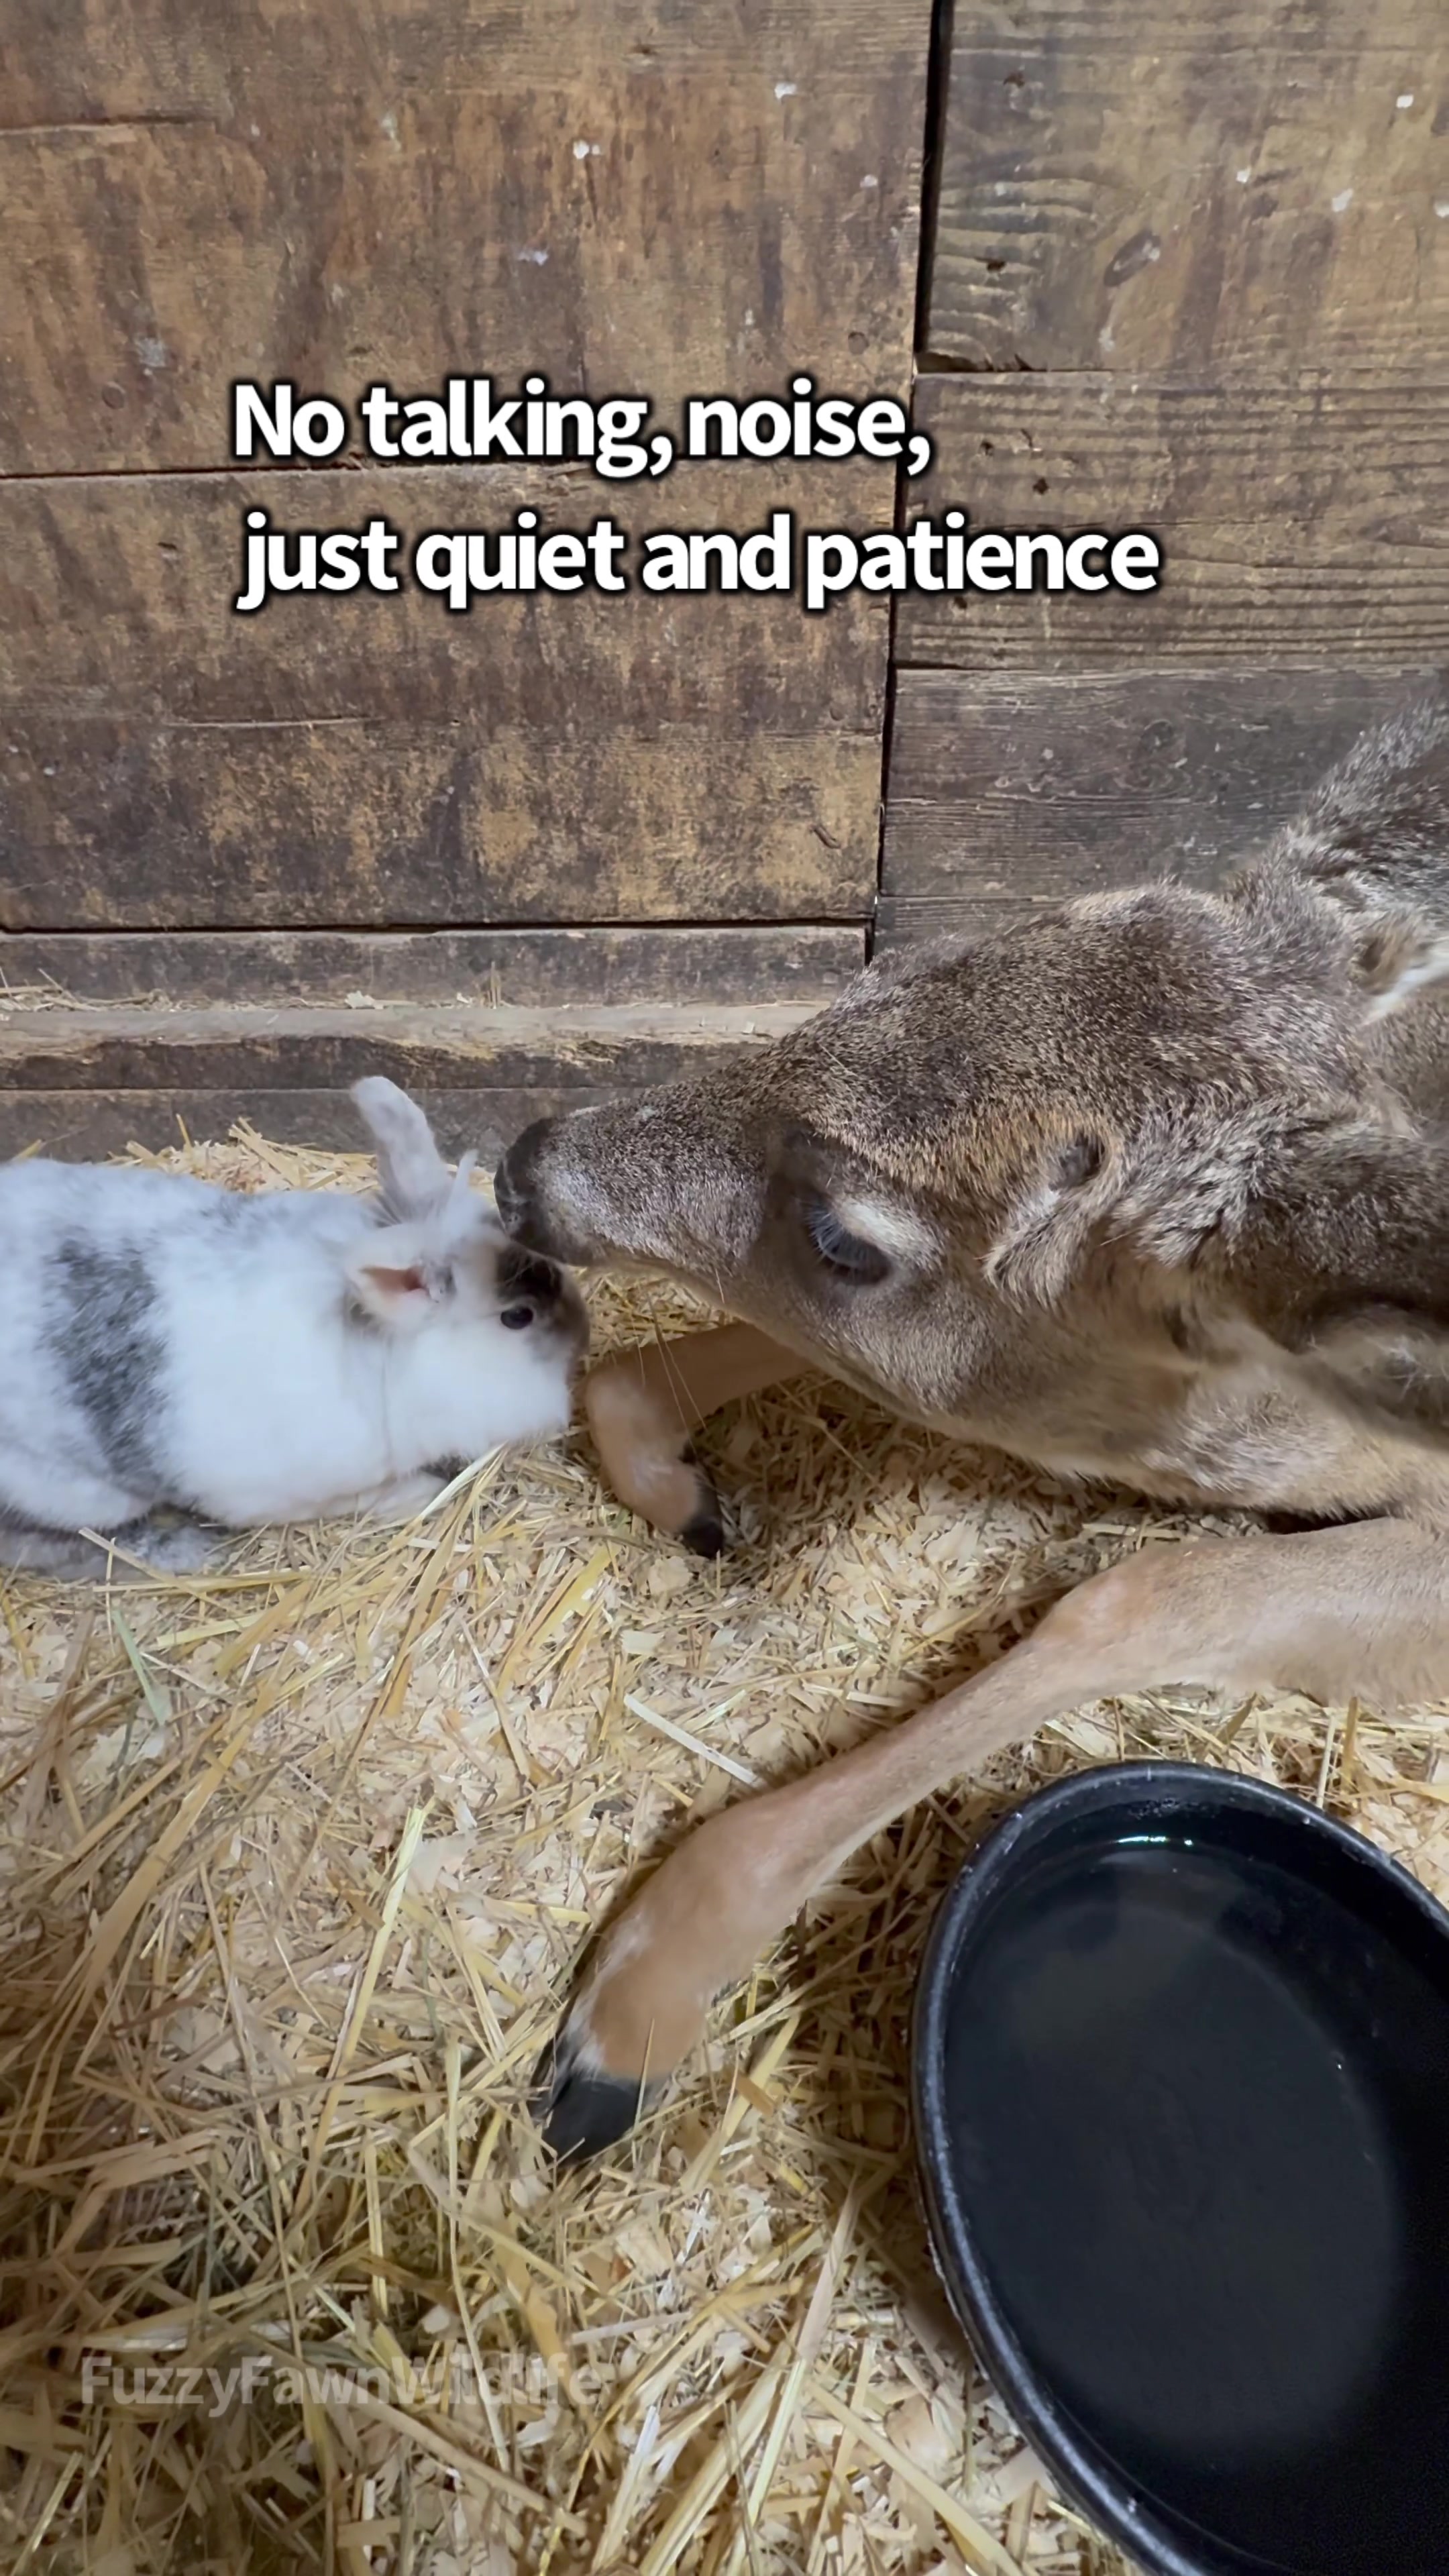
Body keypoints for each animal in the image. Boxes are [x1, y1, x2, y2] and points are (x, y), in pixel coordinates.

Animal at [493, 688, 1449, 2163]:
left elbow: (1131, 1601)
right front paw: (678, 1486)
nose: (526, 1164)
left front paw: (628, 2022)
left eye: (849, 1238)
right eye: (875, 978)